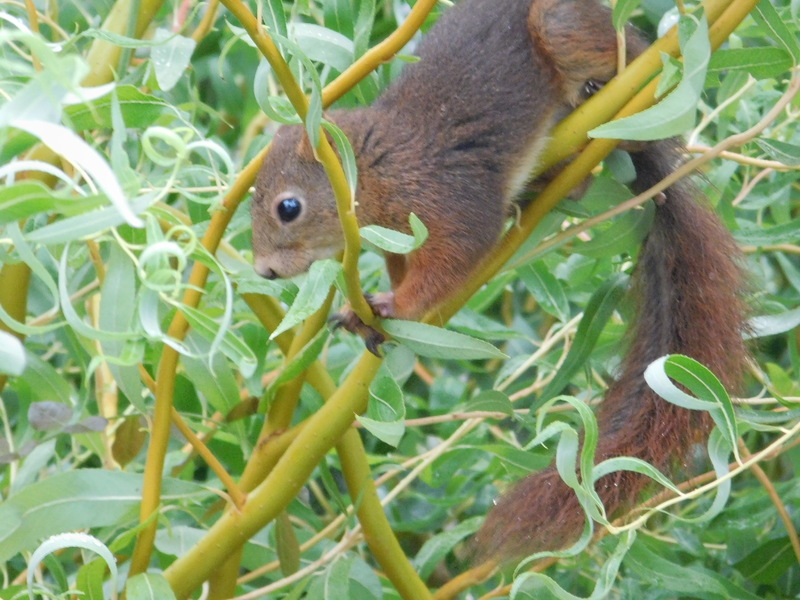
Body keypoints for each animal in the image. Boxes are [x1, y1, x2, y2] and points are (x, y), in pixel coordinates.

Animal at [252, 0, 752, 556]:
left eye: (289, 207)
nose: (263, 271)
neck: (380, 166)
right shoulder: (402, 235)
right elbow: (407, 267)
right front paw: (368, 314)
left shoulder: (451, 195)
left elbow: (452, 260)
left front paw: (394, 307)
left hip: (564, 29)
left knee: (617, 54)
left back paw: (607, 85)